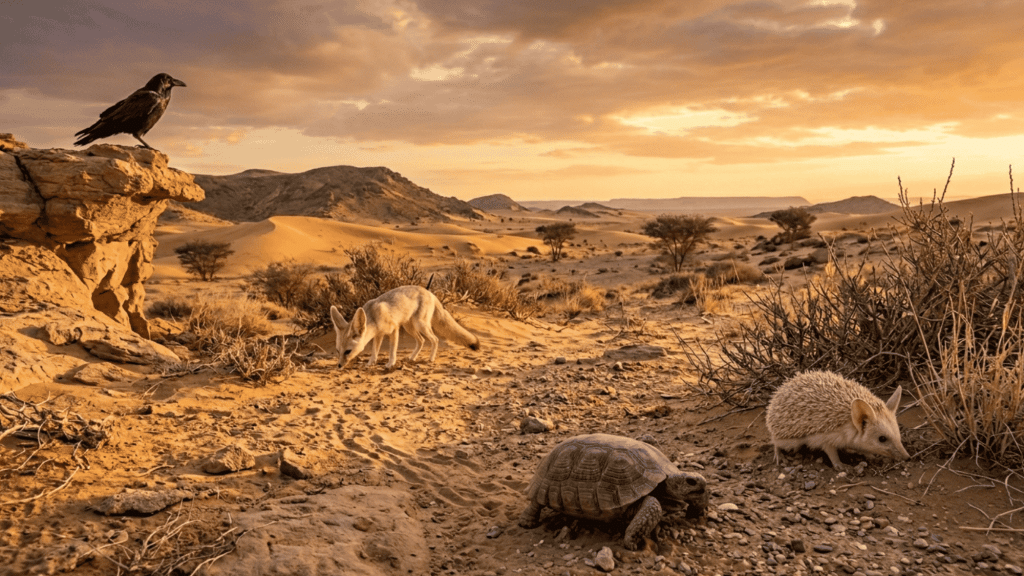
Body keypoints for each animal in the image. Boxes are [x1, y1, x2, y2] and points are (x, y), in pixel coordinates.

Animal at [330, 285, 480, 369]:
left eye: (348, 352)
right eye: (337, 351)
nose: (339, 366)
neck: (373, 316)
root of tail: (430, 293)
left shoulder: (394, 329)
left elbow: (392, 350)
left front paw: (390, 363)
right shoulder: (379, 334)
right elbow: (374, 350)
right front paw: (371, 362)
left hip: (420, 324)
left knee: (435, 339)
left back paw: (431, 358)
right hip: (410, 327)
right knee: (421, 341)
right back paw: (412, 358)